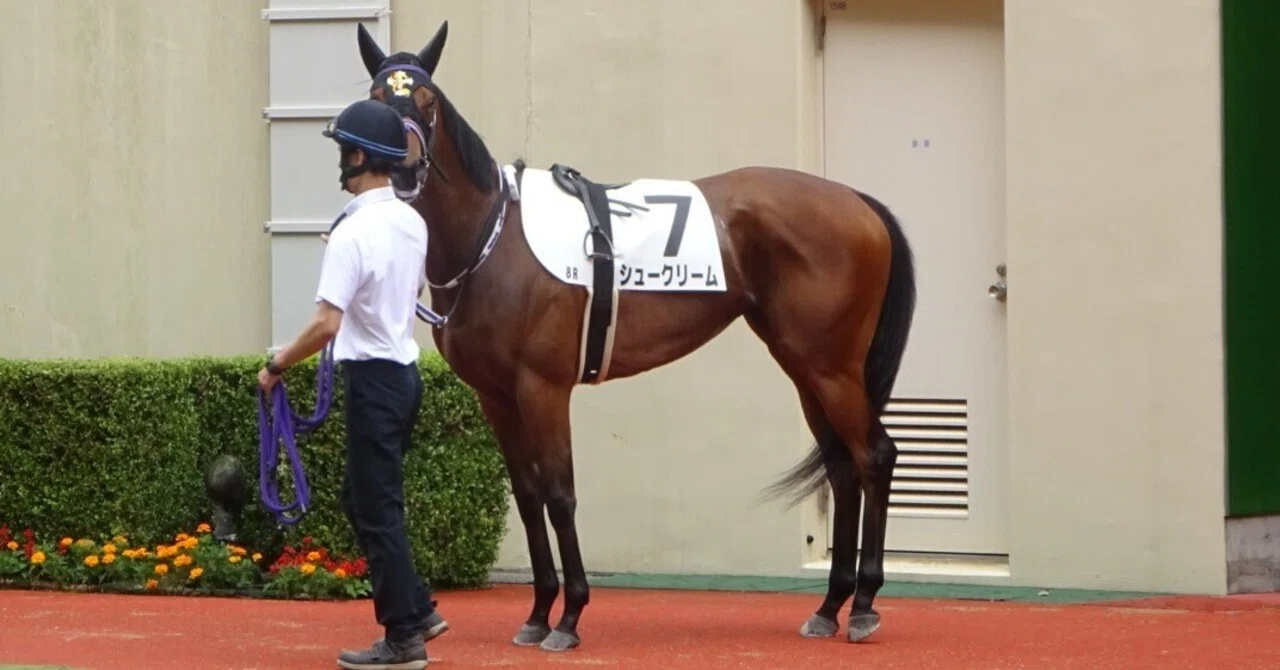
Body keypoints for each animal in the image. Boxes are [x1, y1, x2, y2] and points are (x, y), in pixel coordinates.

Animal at [349, 18, 917, 652]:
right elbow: (527, 495)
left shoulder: (543, 388)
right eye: (375, 99)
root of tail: (857, 202)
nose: (402, 168)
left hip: (832, 368)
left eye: (426, 101)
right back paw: (830, 605)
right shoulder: (495, 395)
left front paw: (569, 616)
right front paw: (538, 612)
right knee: (843, 467)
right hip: (806, 368)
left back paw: (864, 605)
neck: (494, 239)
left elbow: (560, 494)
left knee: (874, 456)